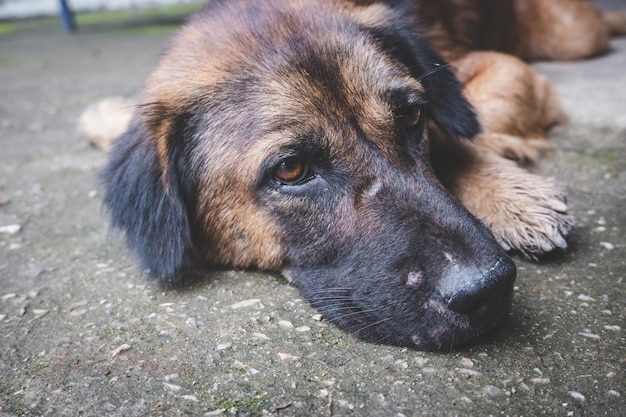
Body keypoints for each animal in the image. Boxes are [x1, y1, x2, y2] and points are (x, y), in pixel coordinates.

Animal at [83, 0, 624, 350]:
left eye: (413, 117)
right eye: (291, 168)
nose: (488, 288)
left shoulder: (493, 68)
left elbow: (461, 130)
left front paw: (512, 195)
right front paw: (104, 115)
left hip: (568, 35)